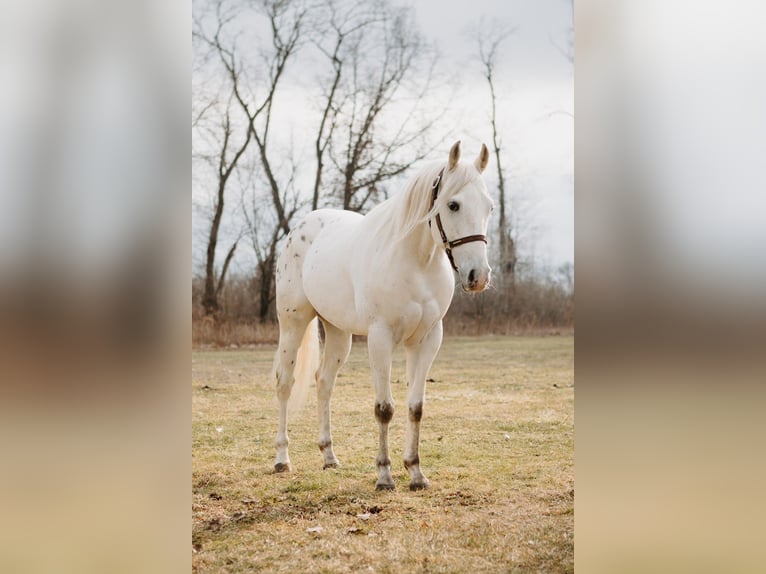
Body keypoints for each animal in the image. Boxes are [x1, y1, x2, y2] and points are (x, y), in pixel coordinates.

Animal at [272, 140, 493, 490]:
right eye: (453, 205)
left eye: (489, 207)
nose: (478, 277)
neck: (415, 263)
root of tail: (302, 227)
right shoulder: (380, 338)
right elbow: (384, 409)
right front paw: (385, 475)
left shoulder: (427, 340)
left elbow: (415, 408)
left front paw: (415, 473)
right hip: (293, 324)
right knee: (285, 383)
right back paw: (282, 458)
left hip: (339, 333)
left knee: (324, 383)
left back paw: (329, 456)